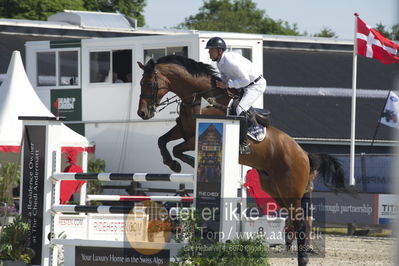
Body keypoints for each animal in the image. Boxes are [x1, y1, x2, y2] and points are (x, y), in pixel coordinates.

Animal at [138, 55, 346, 264]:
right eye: (140, 83)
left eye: (149, 83)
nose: (143, 113)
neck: (199, 100)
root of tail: (303, 154)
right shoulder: (182, 131)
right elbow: (162, 141)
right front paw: (172, 162)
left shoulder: (193, 137)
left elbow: (177, 148)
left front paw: (184, 163)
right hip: (273, 188)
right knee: (292, 220)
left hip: (291, 189)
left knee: (300, 221)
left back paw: (303, 259)